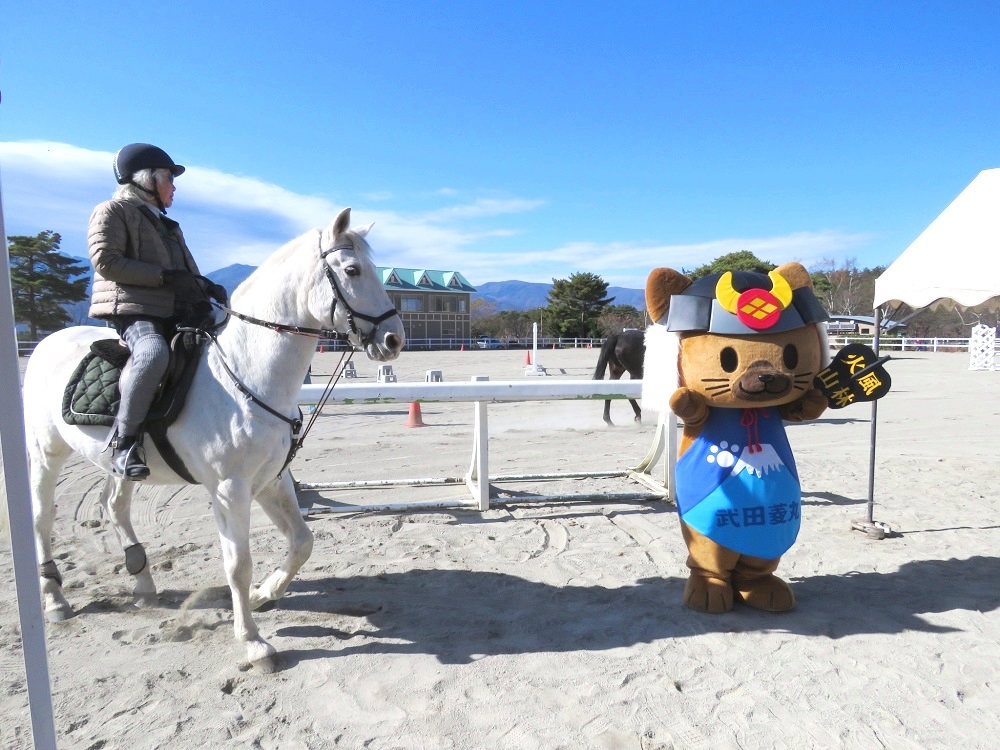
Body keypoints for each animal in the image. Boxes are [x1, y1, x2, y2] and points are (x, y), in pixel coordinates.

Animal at [20, 209, 402, 672]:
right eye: (352, 270)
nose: (394, 339)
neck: (243, 373)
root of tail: (46, 342)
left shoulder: (272, 480)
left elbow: (302, 542)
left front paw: (264, 594)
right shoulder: (229, 489)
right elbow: (238, 564)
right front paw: (254, 642)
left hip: (119, 463)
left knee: (114, 505)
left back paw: (142, 581)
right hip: (45, 454)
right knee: (41, 518)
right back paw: (55, 599)